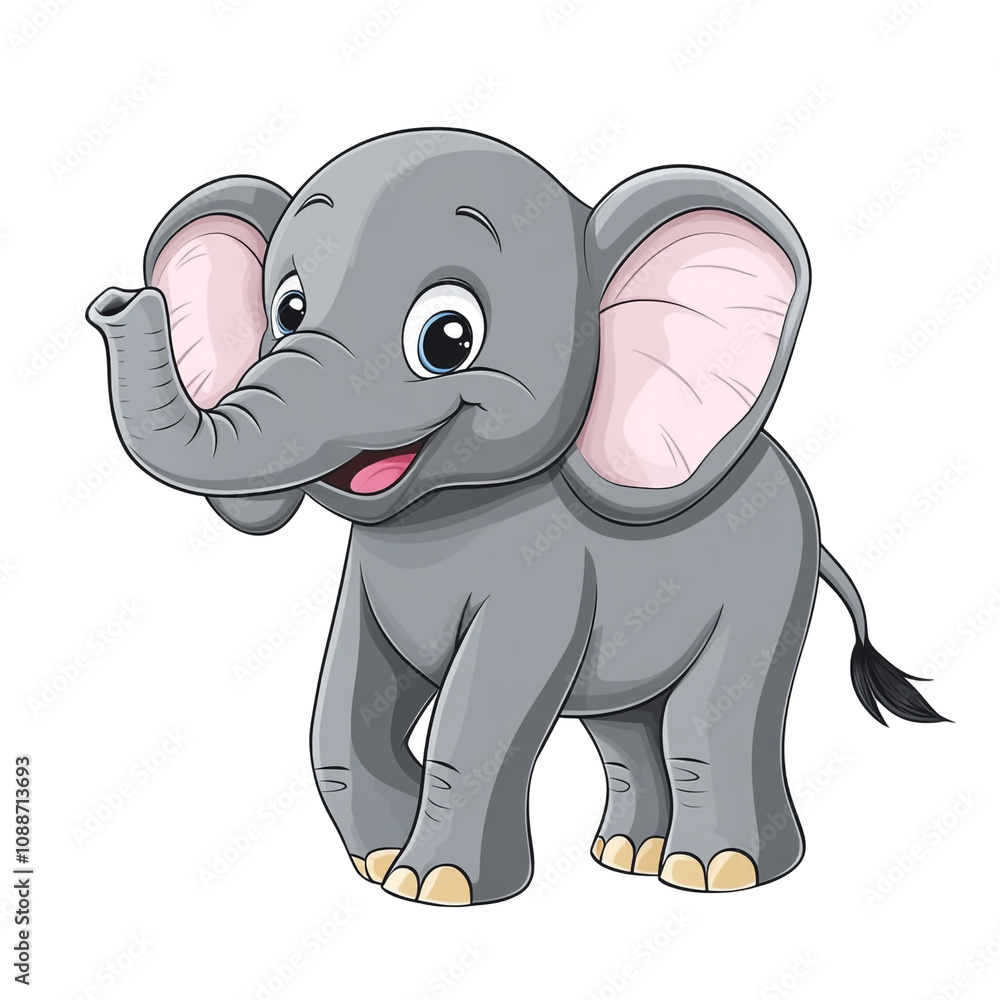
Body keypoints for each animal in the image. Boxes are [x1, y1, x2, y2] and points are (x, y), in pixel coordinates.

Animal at [87, 128, 946, 906]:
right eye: (288, 309)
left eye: (447, 337)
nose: (116, 302)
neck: (445, 508)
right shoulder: (370, 578)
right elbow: (343, 707)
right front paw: (382, 863)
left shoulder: (544, 571)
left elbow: (481, 707)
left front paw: (432, 886)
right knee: (623, 725)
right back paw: (627, 856)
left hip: (774, 575)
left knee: (709, 715)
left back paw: (715, 874)